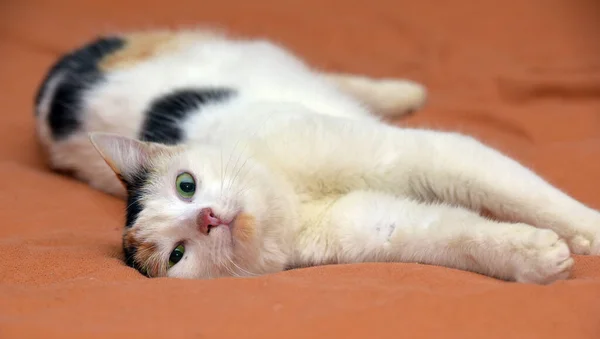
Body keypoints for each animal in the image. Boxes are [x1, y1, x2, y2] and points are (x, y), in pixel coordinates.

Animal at [35, 27, 596, 286]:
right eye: (177, 255)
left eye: (185, 185)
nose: (208, 218)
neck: (292, 198)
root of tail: (52, 83)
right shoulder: (381, 226)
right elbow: (459, 236)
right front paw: (536, 258)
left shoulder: (420, 153)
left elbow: (530, 195)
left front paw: (589, 229)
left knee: (327, 77)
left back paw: (401, 92)